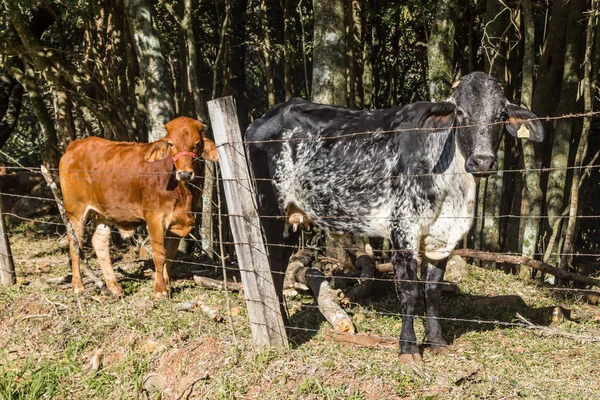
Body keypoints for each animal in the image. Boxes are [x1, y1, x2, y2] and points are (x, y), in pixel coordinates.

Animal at [58, 115, 218, 296]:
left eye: (197, 143)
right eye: (171, 144)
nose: (184, 173)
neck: (184, 193)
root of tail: (76, 144)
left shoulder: (176, 222)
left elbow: (170, 255)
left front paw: (167, 285)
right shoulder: (154, 218)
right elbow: (159, 255)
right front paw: (160, 290)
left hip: (103, 213)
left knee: (99, 242)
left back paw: (114, 287)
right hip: (75, 210)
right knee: (74, 242)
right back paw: (78, 286)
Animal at [246, 71, 548, 362]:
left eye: (501, 114)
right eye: (460, 113)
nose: (483, 161)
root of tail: (262, 119)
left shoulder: (442, 239)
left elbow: (432, 291)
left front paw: (437, 342)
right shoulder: (403, 230)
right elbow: (409, 291)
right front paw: (409, 349)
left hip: (292, 220)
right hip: (269, 212)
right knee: (271, 269)